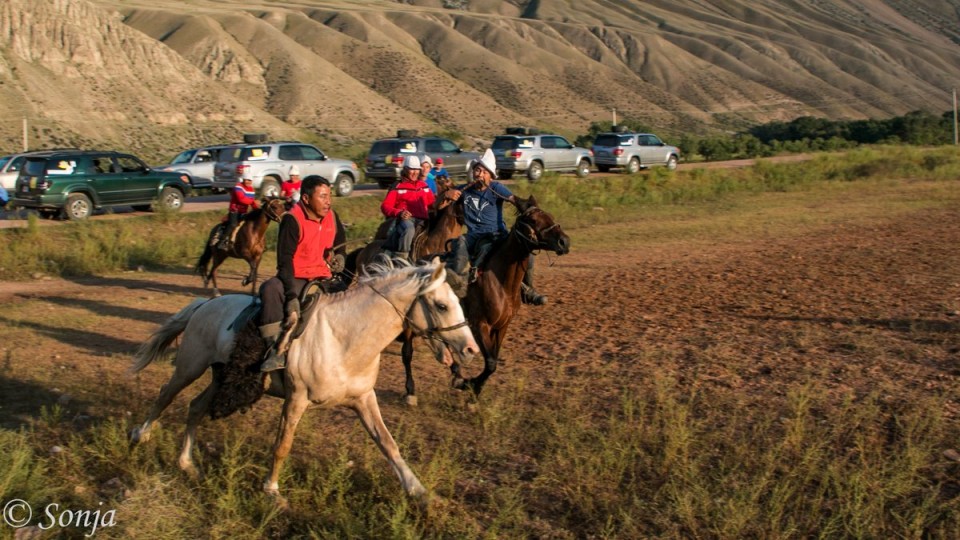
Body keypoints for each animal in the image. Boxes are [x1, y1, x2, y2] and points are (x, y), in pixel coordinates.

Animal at [127, 258, 480, 502]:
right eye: (441, 305)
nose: (471, 349)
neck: (343, 337)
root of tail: (206, 304)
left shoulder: (363, 399)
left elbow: (388, 444)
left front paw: (419, 491)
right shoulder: (296, 399)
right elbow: (282, 444)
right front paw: (271, 490)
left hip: (219, 375)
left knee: (196, 407)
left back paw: (186, 463)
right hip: (191, 366)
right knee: (166, 394)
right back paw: (140, 435)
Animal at [398, 194, 568, 400]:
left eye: (549, 216)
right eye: (533, 220)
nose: (564, 242)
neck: (500, 282)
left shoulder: (501, 327)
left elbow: (493, 360)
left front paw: (471, 388)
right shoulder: (479, 325)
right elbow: (490, 362)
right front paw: (471, 386)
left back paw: (457, 375)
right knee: (407, 352)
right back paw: (410, 390)